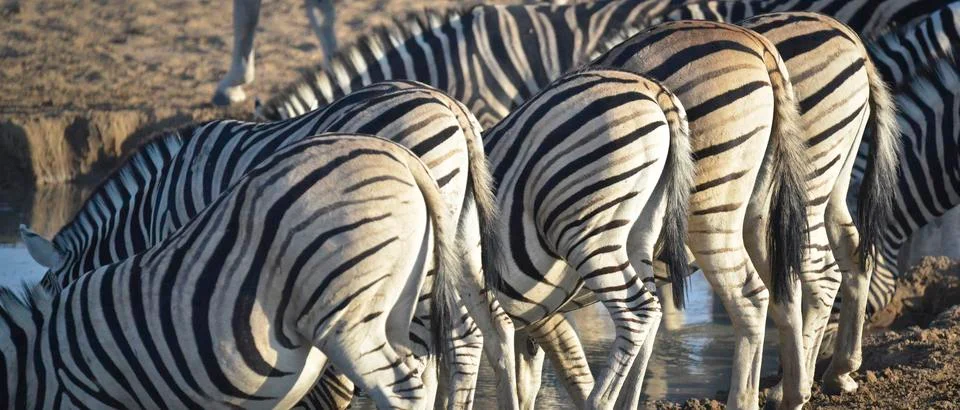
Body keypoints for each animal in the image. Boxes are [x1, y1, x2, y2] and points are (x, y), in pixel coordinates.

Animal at [19, 82, 516, 409]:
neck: (153, 206)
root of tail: (453, 107)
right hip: (462, 239)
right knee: (492, 327)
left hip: (429, 251)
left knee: (453, 339)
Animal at [479, 66, 695, 410]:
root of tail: (652, 88)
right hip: (641, 230)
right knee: (652, 314)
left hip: (587, 233)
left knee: (637, 312)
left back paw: (599, 401)